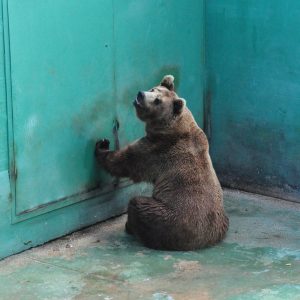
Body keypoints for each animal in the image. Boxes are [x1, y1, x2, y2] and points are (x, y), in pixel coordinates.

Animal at [95, 75, 229, 251]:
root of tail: (204, 240)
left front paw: (101, 146)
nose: (140, 94)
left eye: (157, 100)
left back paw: (130, 227)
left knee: (138, 204)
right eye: (153, 89)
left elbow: (126, 162)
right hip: (223, 218)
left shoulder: (157, 150)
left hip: (169, 217)